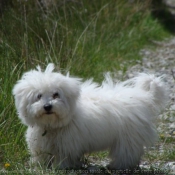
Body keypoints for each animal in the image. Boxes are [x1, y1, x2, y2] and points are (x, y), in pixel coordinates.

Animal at [12, 63, 168, 170]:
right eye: (38, 96)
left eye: (56, 94)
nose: (47, 106)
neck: (53, 125)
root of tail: (144, 96)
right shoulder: (40, 143)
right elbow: (41, 156)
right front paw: (40, 165)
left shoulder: (67, 145)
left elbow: (64, 157)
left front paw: (61, 167)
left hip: (128, 137)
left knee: (127, 153)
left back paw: (118, 165)